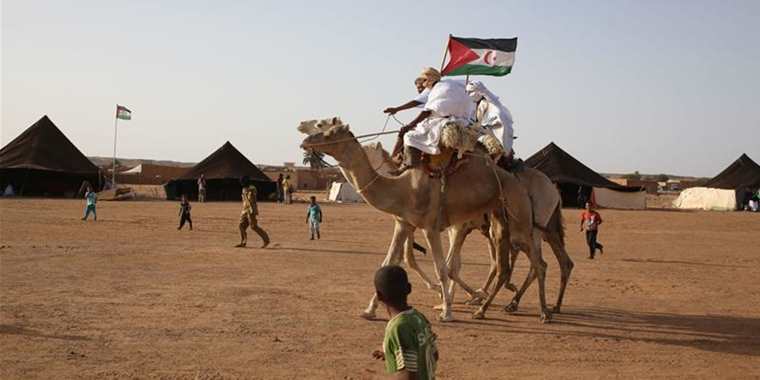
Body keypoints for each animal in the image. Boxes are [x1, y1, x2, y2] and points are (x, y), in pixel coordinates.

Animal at [366, 142, 572, 314]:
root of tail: (554, 190)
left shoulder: (454, 225)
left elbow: (444, 264)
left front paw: (448, 298)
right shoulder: (439, 225)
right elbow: (432, 261)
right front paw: (449, 297)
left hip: (531, 227)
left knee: (537, 263)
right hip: (544, 229)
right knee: (558, 261)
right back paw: (540, 305)